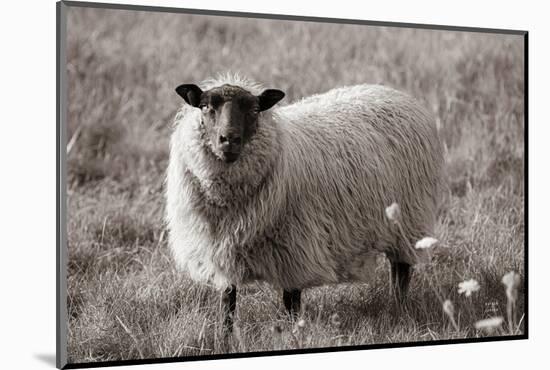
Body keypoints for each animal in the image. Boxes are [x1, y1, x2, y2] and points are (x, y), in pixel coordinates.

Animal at [166, 72, 446, 332]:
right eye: (205, 107)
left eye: (254, 110)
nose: (229, 139)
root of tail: (392, 92)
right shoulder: (220, 254)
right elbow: (228, 303)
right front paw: (226, 337)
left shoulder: (294, 251)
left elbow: (291, 302)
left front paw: (293, 333)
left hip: (408, 219)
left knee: (401, 271)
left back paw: (398, 308)